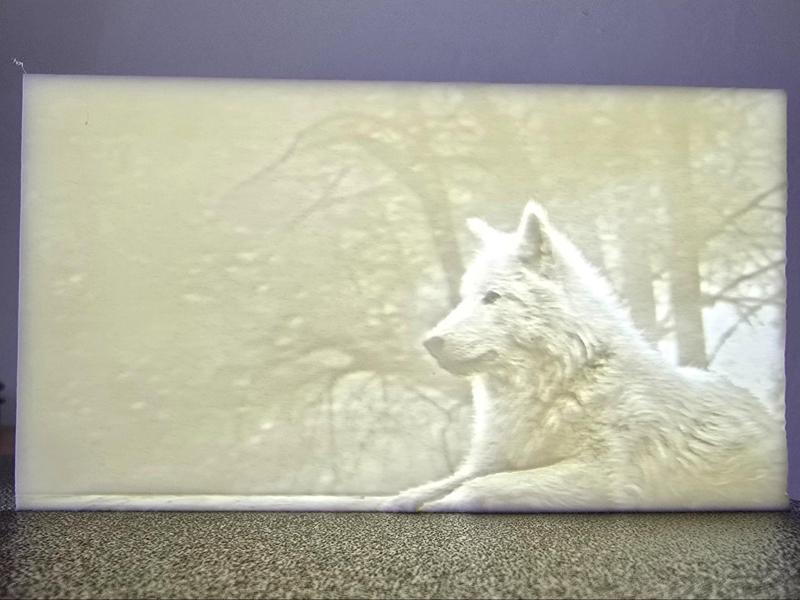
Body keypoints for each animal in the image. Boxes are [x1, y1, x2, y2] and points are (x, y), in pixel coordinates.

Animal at [384, 202, 788, 512]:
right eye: (465, 297)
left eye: (492, 297)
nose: (430, 342)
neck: (563, 383)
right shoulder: (488, 460)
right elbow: (425, 488)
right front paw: (399, 501)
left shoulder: (603, 475)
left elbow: (487, 485)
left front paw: (442, 505)